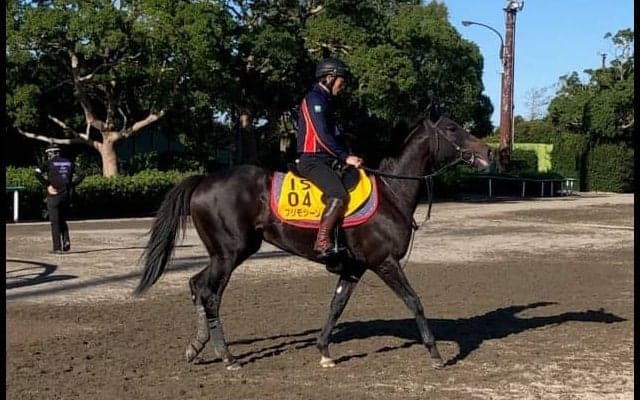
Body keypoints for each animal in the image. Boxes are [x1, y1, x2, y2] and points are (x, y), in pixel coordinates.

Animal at [134, 114, 494, 370]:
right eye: (452, 129)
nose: (488, 151)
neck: (392, 192)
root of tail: (204, 180)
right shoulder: (384, 262)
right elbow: (413, 300)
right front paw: (435, 353)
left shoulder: (354, 267)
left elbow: (336, 306)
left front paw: (324, 350)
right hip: (230, 254)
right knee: (210, 294)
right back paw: (228, 357)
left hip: (223, 254)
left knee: (197, 285)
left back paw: (196, 347)